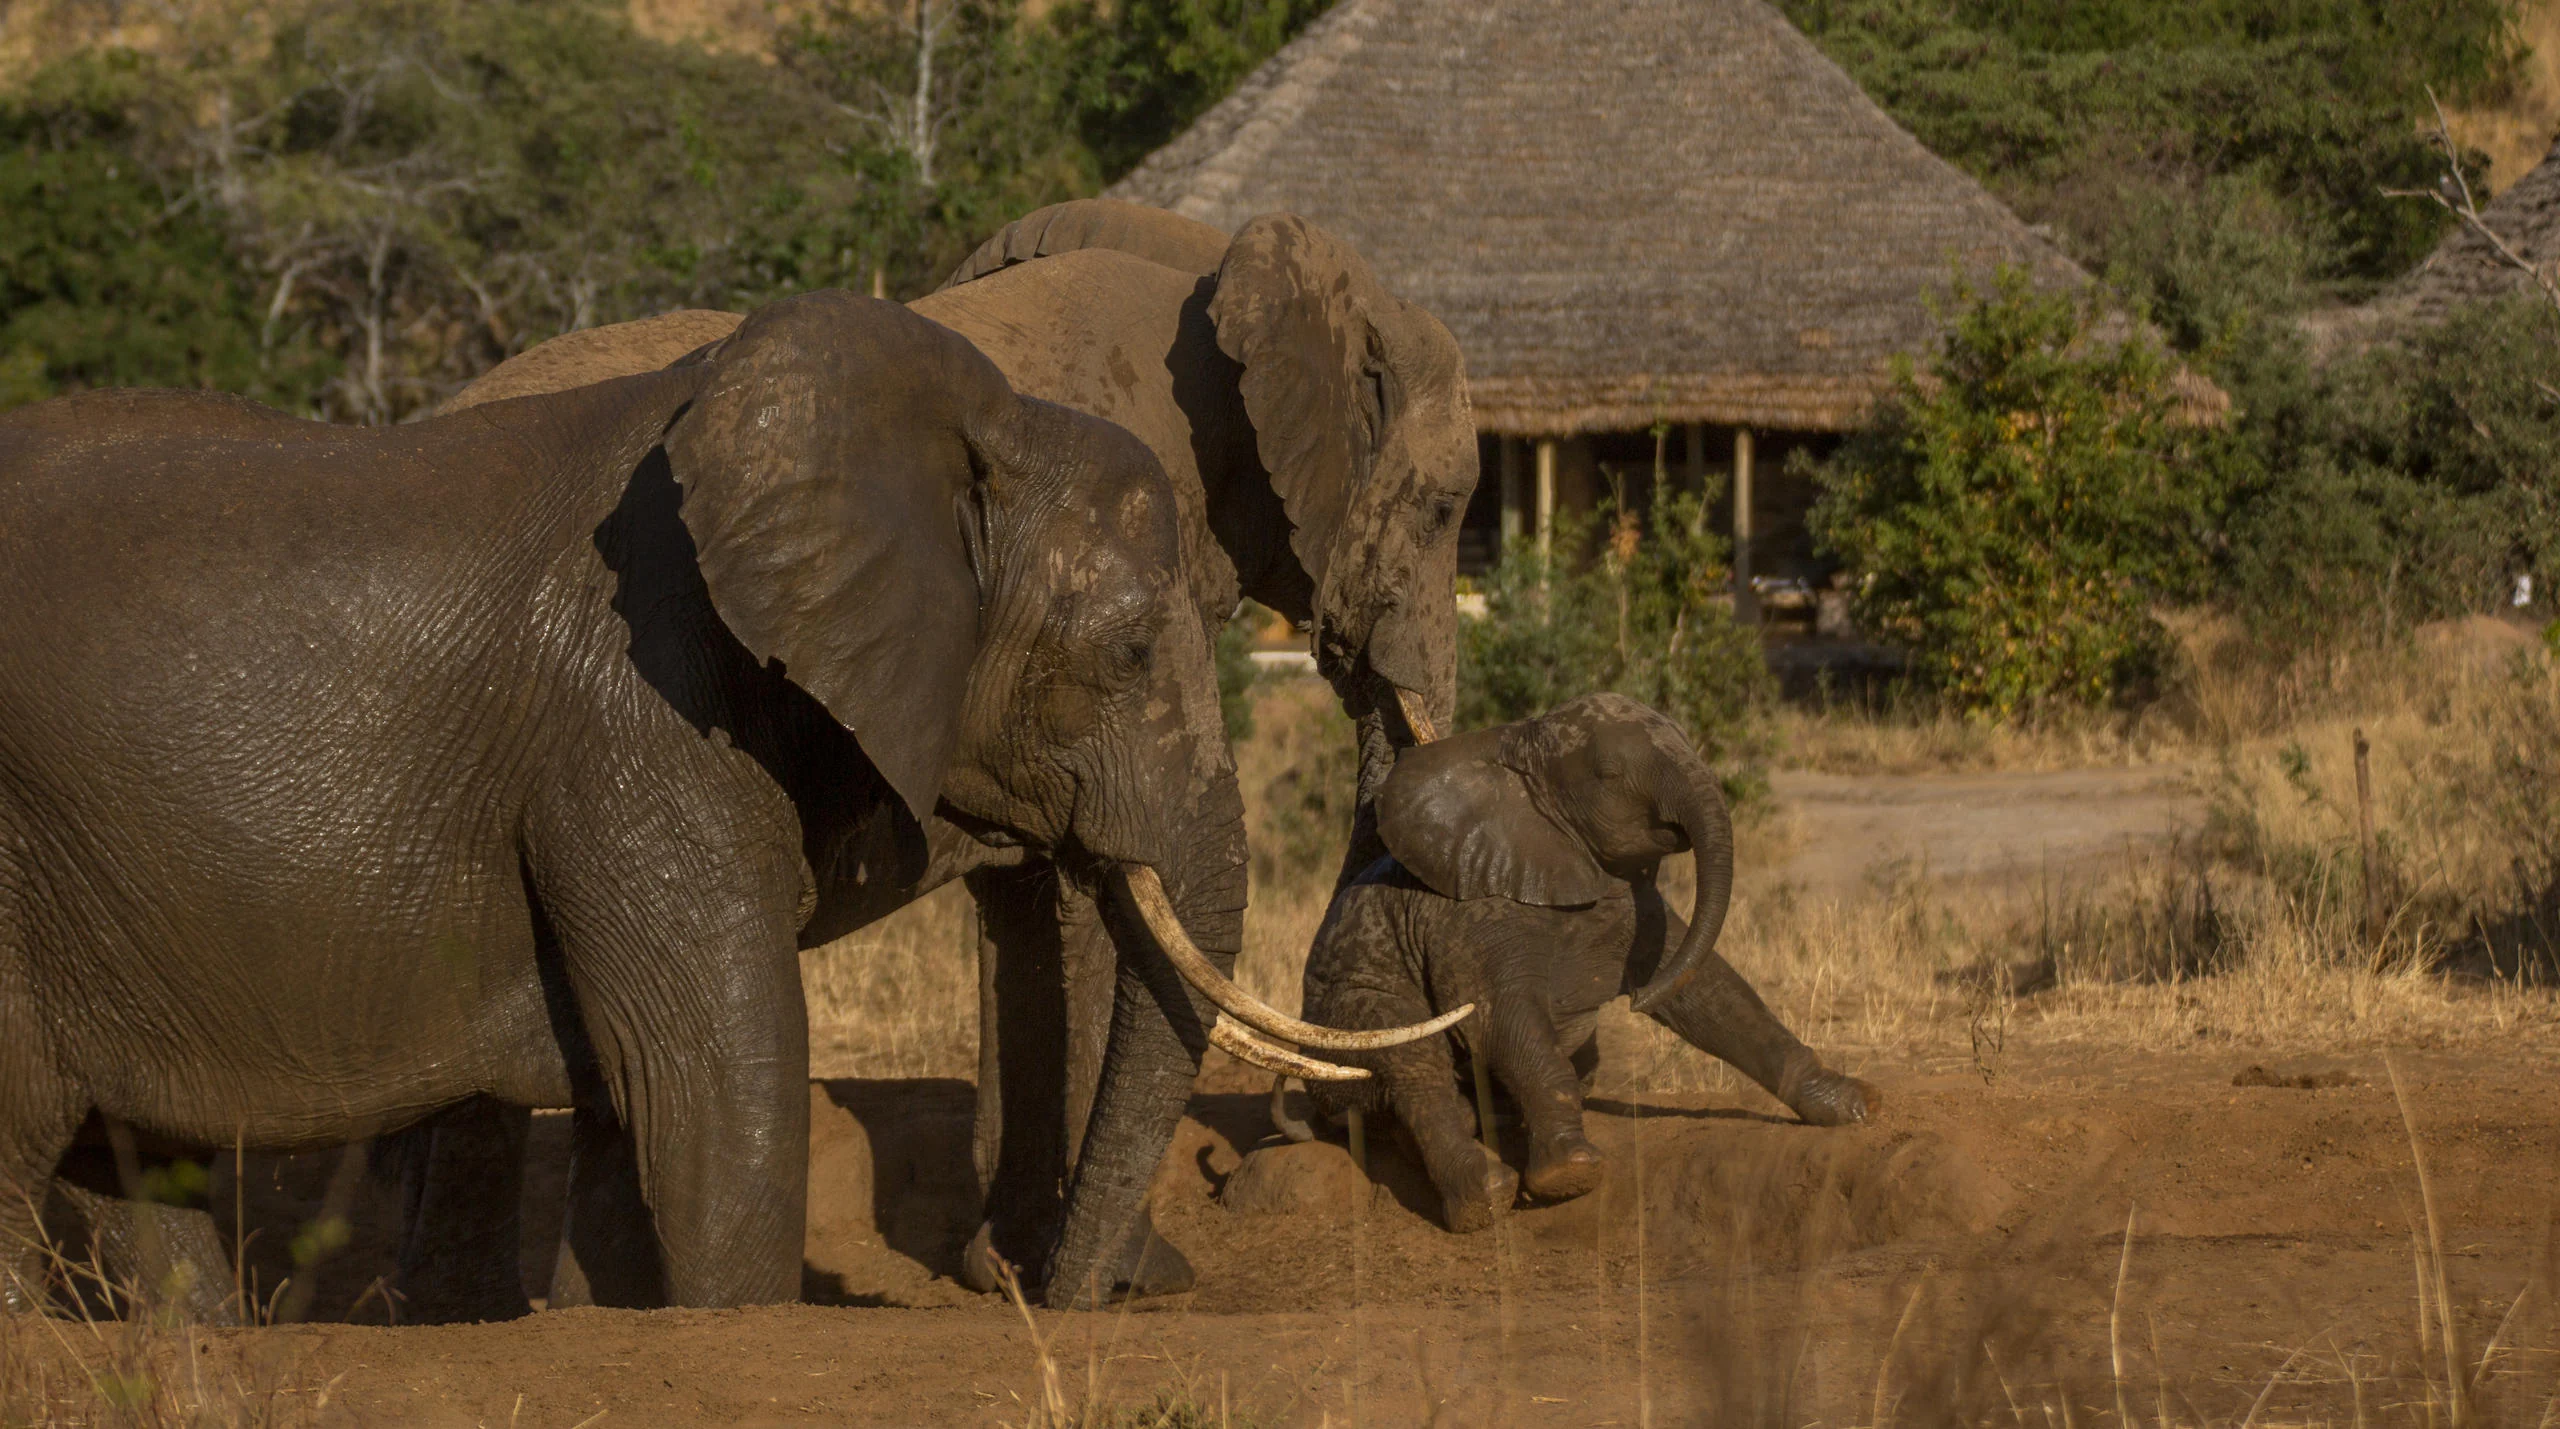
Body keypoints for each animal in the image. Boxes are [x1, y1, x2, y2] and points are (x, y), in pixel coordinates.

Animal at [0, 290, 1430, 1317]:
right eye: (1131, 654)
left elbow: (634, 1120)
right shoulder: (634, 720)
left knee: (134, 1182)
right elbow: (716, 1089)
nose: (1061, 1303)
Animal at [399, 199, 1480, 1299]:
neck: (1208, 265)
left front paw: (1004, 1268)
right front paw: (1127, 1280)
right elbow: (1107, 898)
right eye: (1444, 509)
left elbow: (1032, 900)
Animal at [1281, 694, 1879, 1233]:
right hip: (1341, 1021)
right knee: (1409, 1054)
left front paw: (1853, 1105)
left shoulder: (1629, 904)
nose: (1635, 1004)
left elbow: (1715, 995)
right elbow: (1497, 1020)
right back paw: (1483, 1197)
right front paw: (1570, 1173)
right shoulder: (1467, 916)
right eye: (1609, 774)